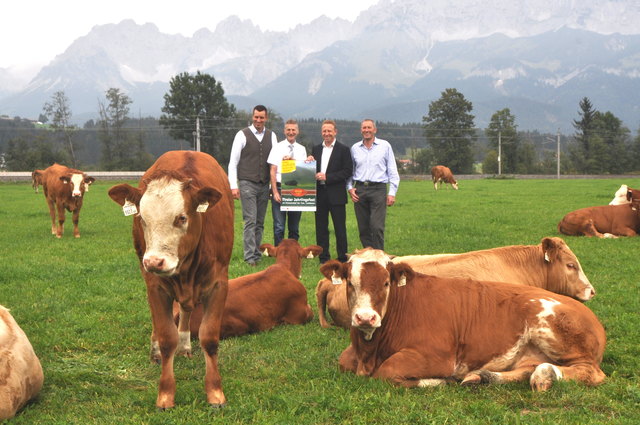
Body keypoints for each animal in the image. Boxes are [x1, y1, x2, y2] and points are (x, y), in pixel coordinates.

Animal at [109, 151, 234, 410]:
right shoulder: (156, 286)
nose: (154, 262)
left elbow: (209, 338)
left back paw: (185, 345)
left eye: (181, 218)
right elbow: (167, 337)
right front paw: (165, 394)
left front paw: (215, 392)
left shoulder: (219, 285)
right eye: (142, 218)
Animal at [322, 248, 608, 390]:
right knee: (527, 368)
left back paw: (545, 376)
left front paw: (442, 381)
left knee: (589, 372)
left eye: (385, 282)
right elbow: (343, 362)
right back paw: (484, 377)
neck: (369, 351)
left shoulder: (437, 356)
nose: (365, 318)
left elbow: (388, 372)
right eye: (350, 282)